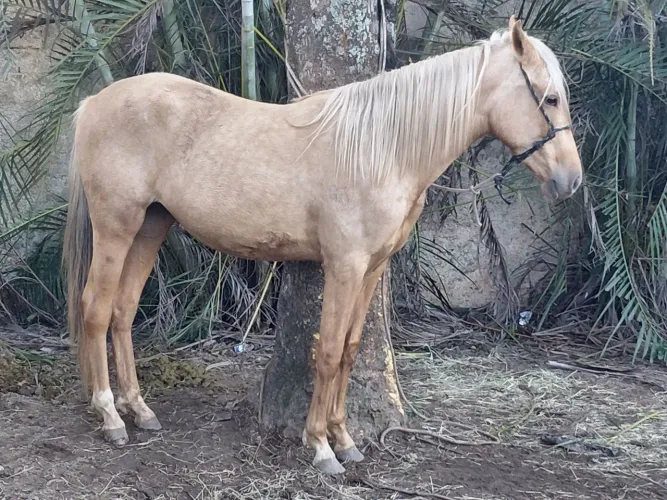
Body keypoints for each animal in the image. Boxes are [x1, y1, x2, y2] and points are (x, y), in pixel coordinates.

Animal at [63, 16, 582, 475]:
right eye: (551, 98)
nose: (571, 180)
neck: (384, 149)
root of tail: (94, 102)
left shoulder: (372, 269)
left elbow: (350, 351)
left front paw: (345, 439)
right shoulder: (344, 266)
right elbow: (329, 352)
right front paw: (320, 447)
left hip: (151, 226)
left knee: (122, 312)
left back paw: (140, 409)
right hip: (117, 226)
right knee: (96, 310)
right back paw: (110, 416)